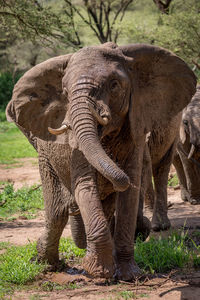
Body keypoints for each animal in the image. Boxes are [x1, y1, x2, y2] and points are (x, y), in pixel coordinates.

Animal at [5, 42, 195, 282]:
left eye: (114, 85)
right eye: (65, 92)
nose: (118, 177)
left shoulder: (136, 129)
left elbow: (130, 192)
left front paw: (129, 275)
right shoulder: (75, 148)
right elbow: (85, 187)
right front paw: (99, 273)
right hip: (45, 157)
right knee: (57, 211)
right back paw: (47, 264)